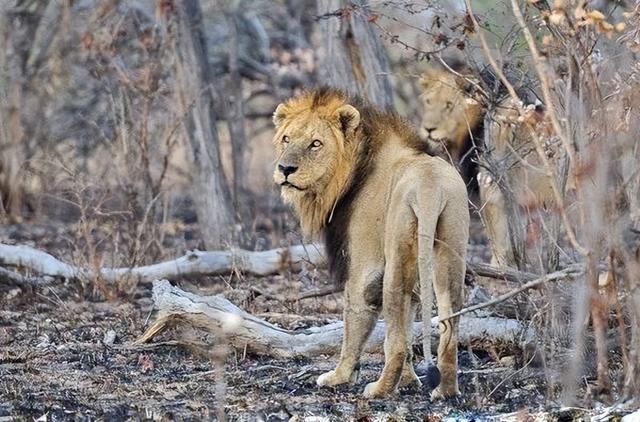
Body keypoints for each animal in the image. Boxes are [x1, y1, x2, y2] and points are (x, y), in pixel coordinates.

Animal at [272, 87, 470, 398]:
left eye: (315, 144)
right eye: (286, 139)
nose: (285, 168)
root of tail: (430, 187)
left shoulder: (364, 266)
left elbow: (354, 321)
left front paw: (339, 376)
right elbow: (410, 325)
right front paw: (409, 382)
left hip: (396, 252)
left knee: (395, 342)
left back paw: (379, 389)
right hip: (451, 245)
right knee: (448, 324)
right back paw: (445, 391)